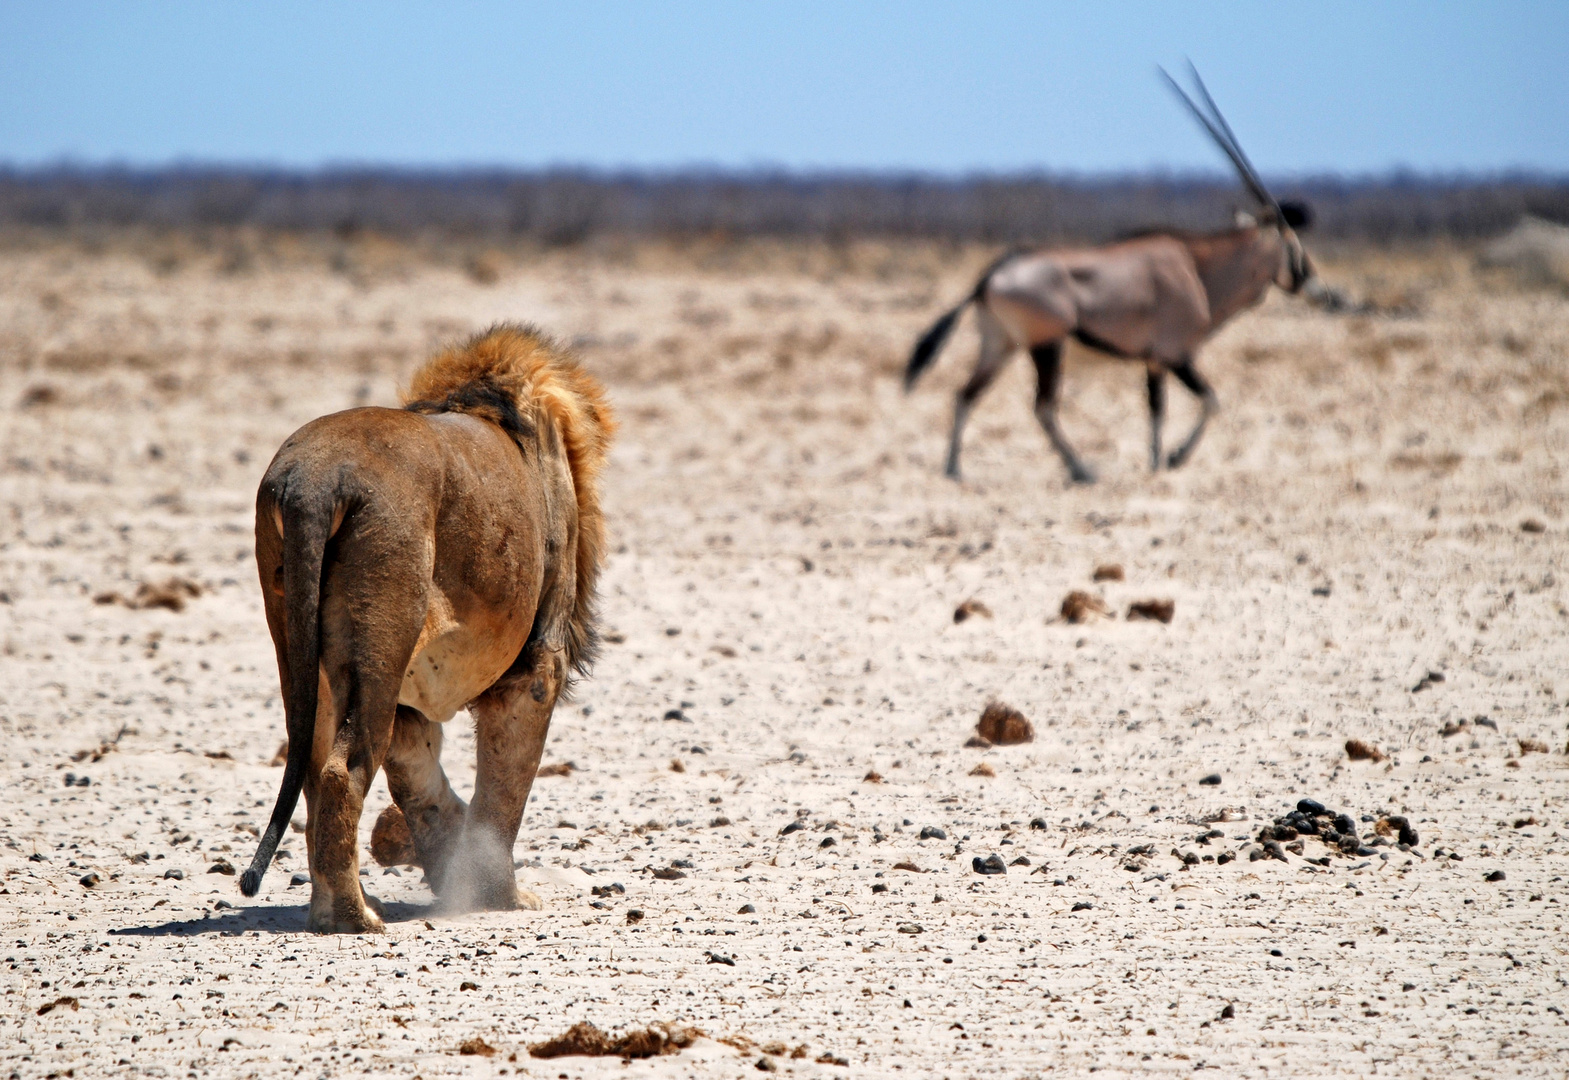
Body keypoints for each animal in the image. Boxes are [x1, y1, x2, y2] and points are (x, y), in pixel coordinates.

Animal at [241, 324, 615, 929]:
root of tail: (313, 484)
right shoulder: (537, 667)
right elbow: (500, 798)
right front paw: (497, 894)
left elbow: (424, 786)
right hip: (382, 640)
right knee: (343, 772)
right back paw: (353, 918)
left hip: (300, 648)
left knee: (315, 776)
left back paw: (336, 907)